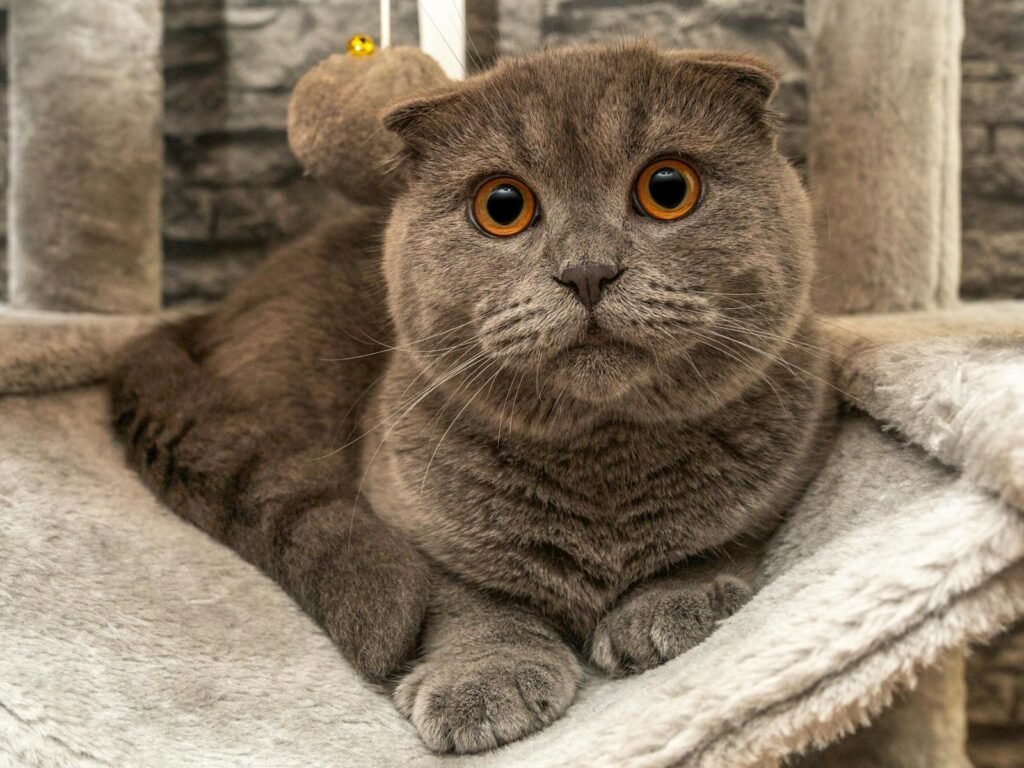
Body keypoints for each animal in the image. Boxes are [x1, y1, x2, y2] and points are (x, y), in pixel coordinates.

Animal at [110, 40, 831, 753]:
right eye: (503, 206)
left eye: (668, 189)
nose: (587, 270)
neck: (603, 461)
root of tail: (205, 315)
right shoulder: (405, 511)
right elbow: (467, 598)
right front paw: (483, 680)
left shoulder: (789, 463)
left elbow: (724, 539)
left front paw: (671, 605)